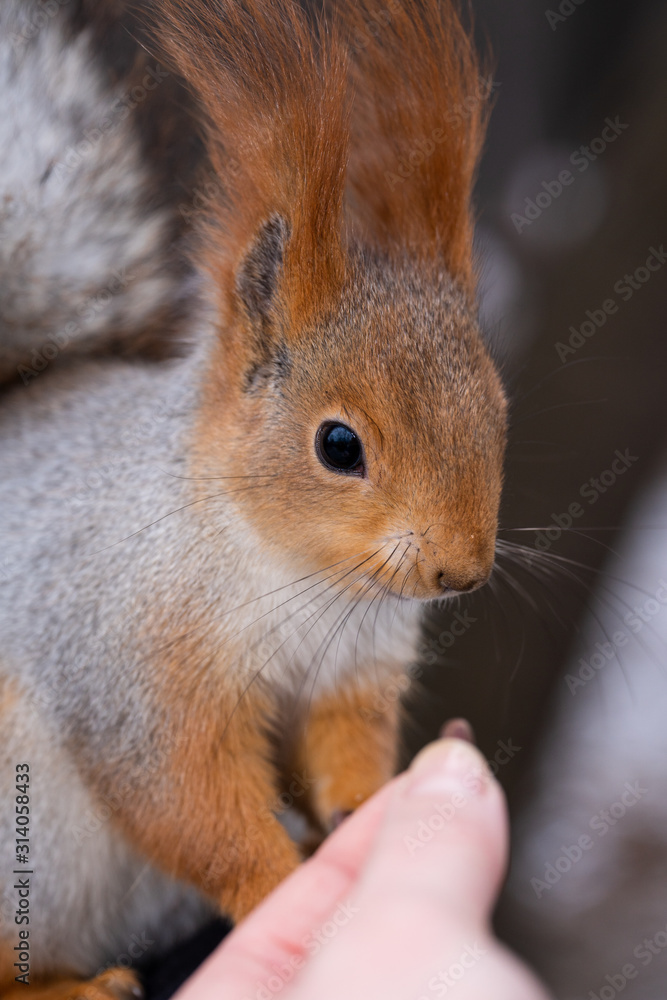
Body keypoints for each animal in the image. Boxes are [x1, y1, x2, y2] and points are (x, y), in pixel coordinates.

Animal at [0, 0, 507, 997]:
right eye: (338, 445)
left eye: (499, 408)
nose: (459, 572)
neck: (293, 571)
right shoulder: (131, 667)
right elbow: (185, 800)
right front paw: (279, 886)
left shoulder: (354, 665)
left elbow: (343, 742)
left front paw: (365, 806)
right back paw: (78, 985)